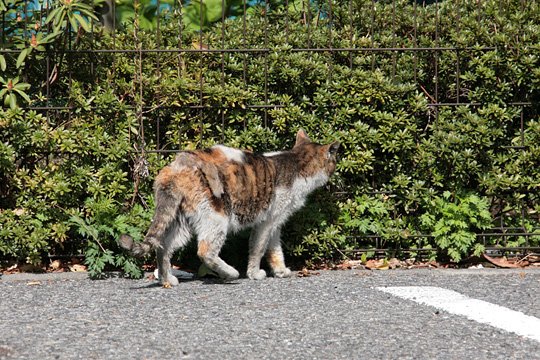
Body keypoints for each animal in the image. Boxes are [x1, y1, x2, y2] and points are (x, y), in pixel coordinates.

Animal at [118, 129, 340, 286]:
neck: (295, 163)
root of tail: (177, 165)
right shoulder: (266, 222)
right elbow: (259, 248)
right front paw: (254, 274)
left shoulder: (276, 222)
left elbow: (275, 249)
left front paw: (280, 271)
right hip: (217, 217)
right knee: (205, 251)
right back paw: (231, 274)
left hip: (182, 222)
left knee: (163, 247)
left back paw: (167, 280)